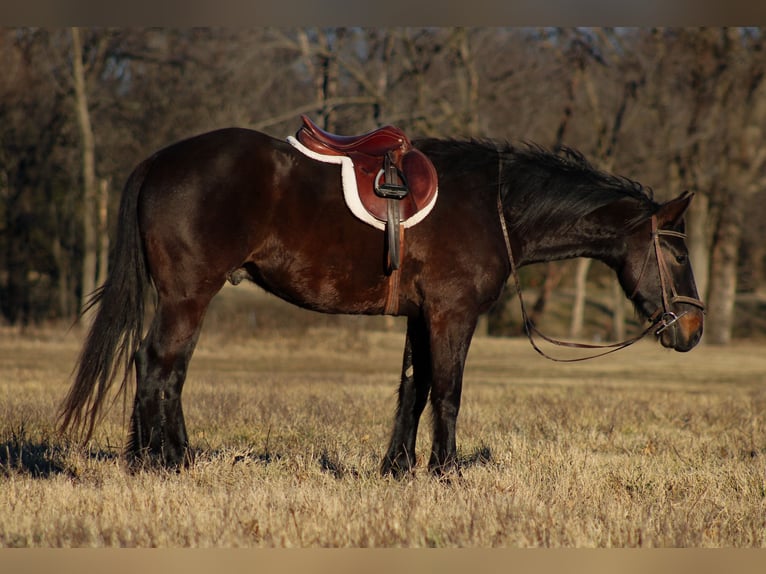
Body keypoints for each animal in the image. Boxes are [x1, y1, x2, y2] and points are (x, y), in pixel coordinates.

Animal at [58, 126, 704, 477]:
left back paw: (163, 457)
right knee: (159, 365)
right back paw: (161, 462)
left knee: (163, 367)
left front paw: (398, 468)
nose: (692, 330)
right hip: (188, 295)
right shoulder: (450, 315)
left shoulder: (420, 317)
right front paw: (445, 473)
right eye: (677, 252)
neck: (495, 207)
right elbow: (446, 392)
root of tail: (160, 161)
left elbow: (412, 390)